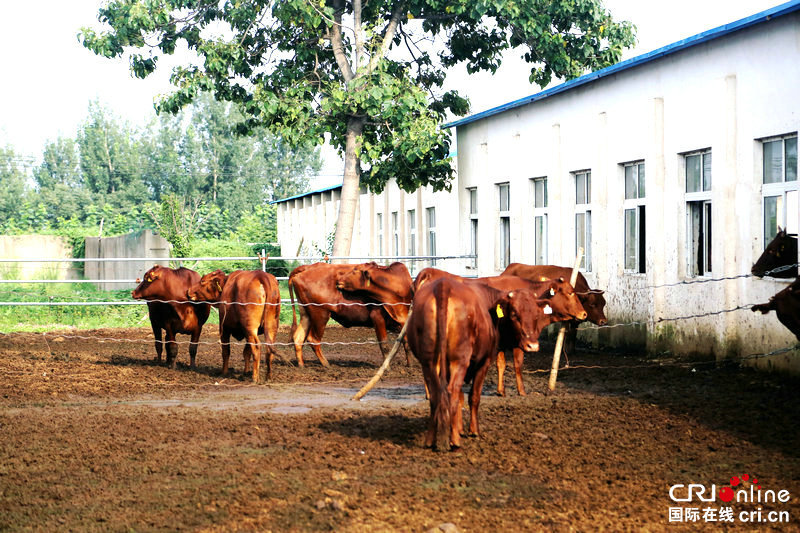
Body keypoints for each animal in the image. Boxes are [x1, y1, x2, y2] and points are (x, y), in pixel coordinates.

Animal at [410, 276, 552, 450]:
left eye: (536, 315)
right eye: (514, 314)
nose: (532, 345)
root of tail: (443, 285)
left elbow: (461, 398)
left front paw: (459, 428)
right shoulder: (484, 362)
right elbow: (474, 396)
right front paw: (473, 431)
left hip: (429, 362)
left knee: (436, 393)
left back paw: (431, 440)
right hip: (459, 360)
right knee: (451, 391)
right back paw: (454, 441)